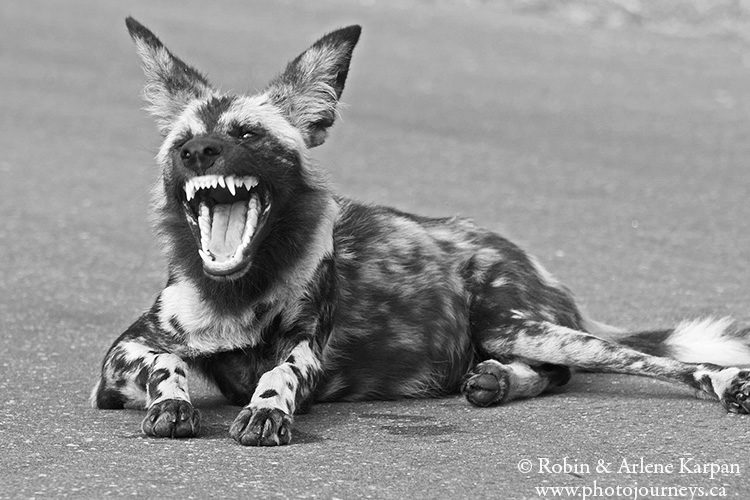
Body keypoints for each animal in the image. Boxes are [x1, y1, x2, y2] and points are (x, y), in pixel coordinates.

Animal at [92, 17, 750, 446]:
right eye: (183, 143)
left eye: (247, 135)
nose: (200, 152)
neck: (240, 291)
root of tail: (522, 253)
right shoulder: (118, 363)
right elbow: (168, 364)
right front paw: (174, 405)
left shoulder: (305, 349)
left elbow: (278, 372)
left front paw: (267, 410)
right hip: (517, 333)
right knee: (557, 373)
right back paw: (494, 381)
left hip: (518, 325)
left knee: (644, 361)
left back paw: (726, 384)